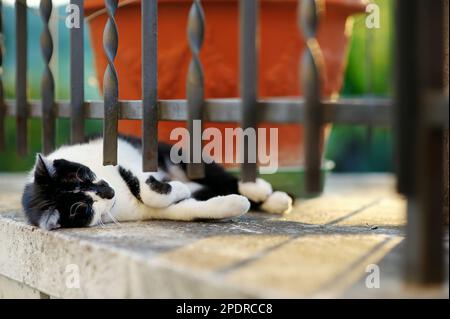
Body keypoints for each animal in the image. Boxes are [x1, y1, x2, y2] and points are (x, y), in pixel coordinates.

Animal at [22, 134, 294, 230]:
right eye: (82, 208)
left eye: (81, 175)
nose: (108, 192)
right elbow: (185, 208)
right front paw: (234, 204)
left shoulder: (120, 158)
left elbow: (144, 185)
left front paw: (177, 186)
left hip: (172, 154)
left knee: (219, 175)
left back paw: (261, 191)